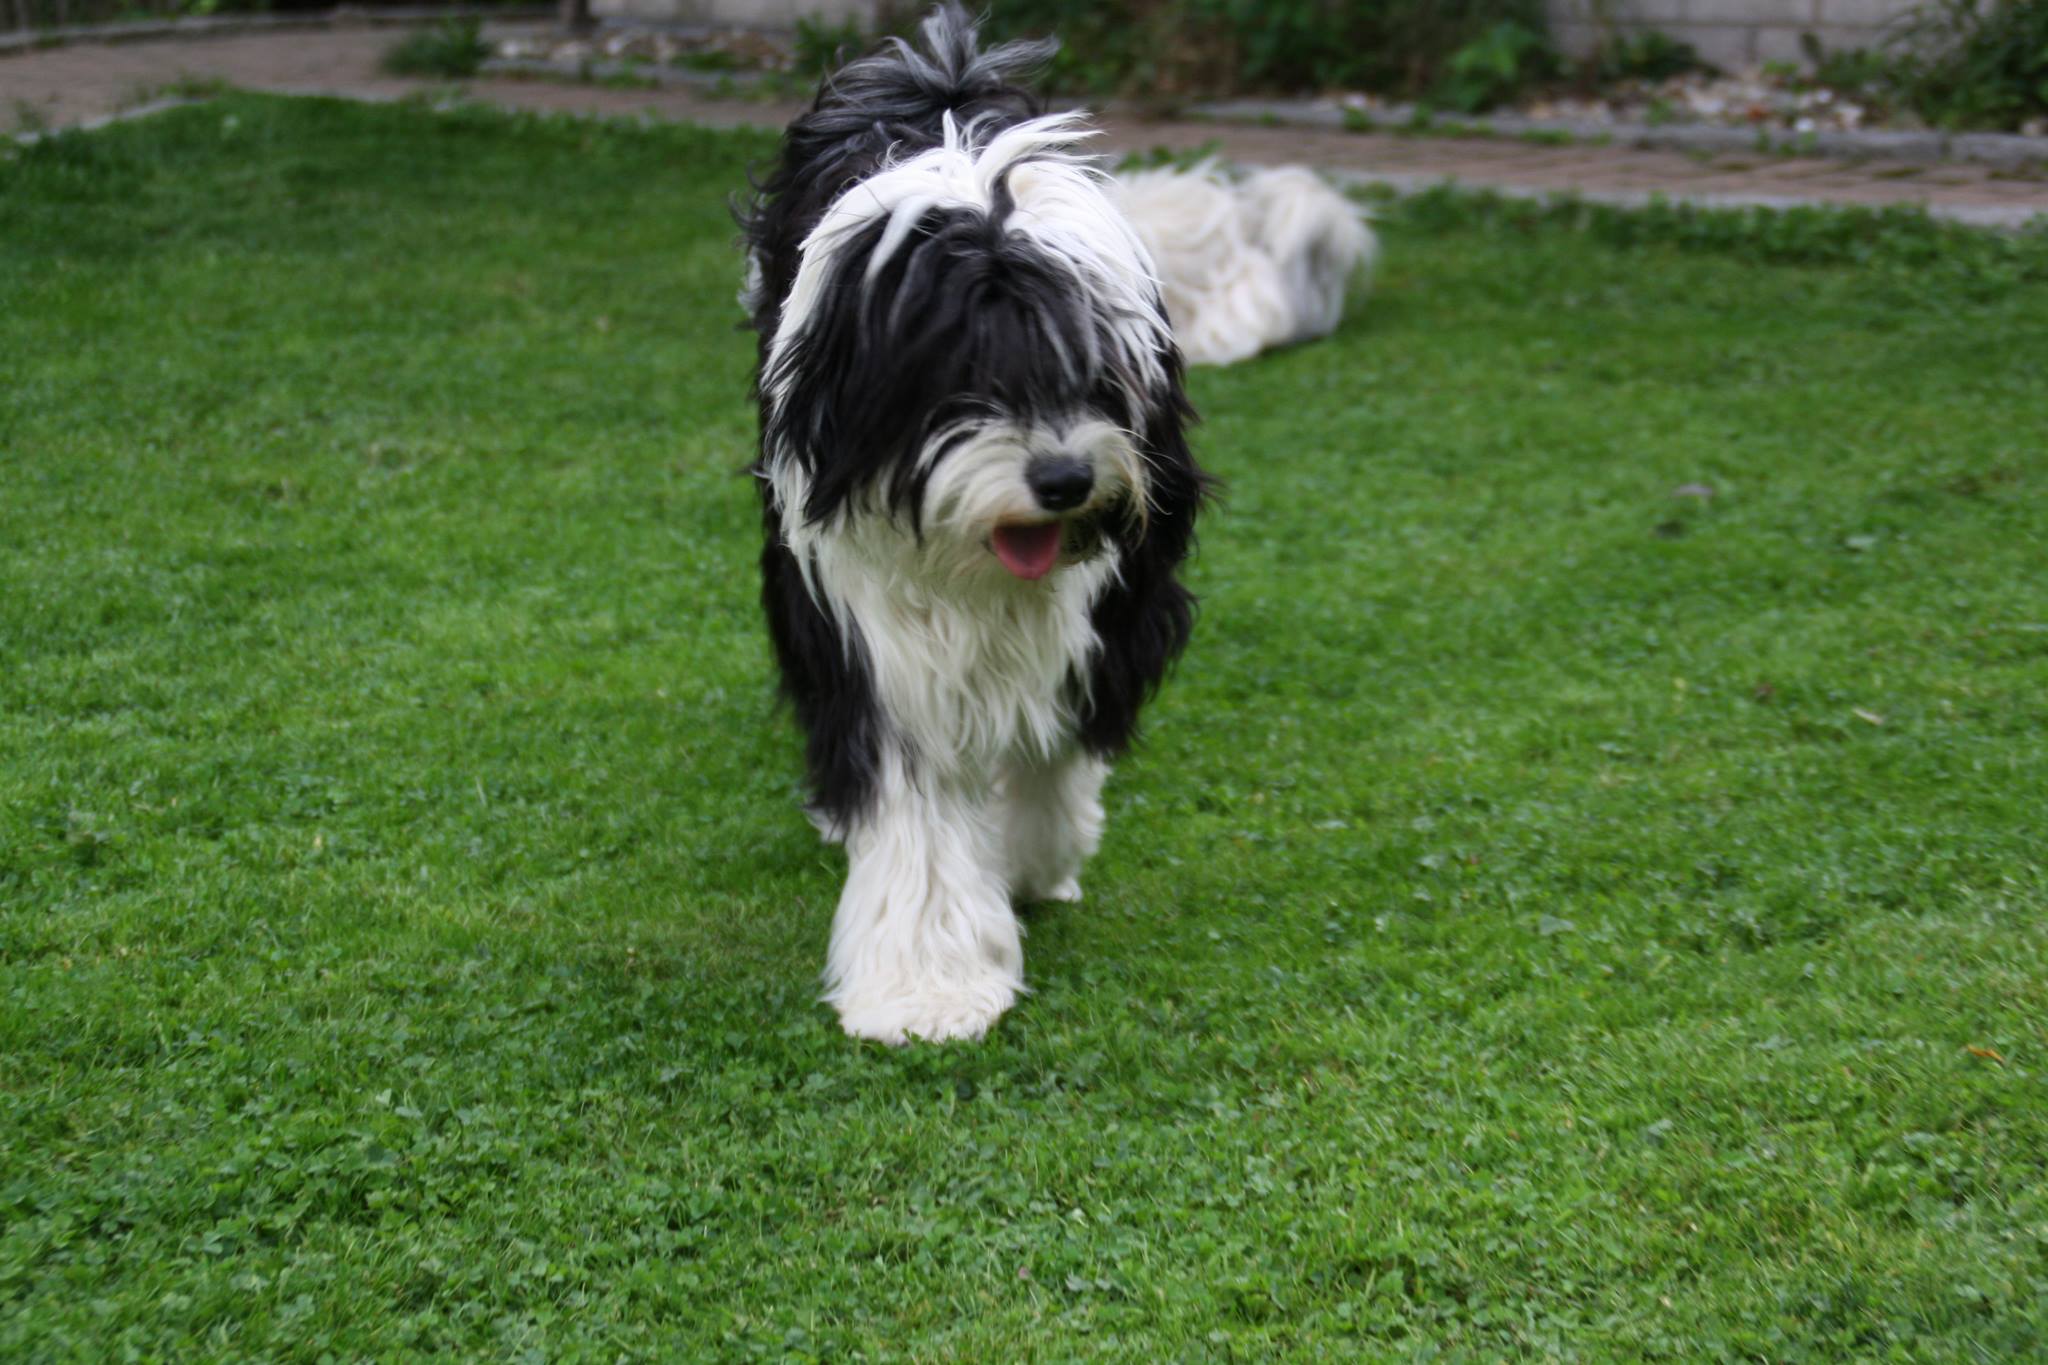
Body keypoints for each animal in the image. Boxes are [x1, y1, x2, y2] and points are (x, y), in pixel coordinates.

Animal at [739, 4, 1208, 1044]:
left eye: (1099, 375)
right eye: (965, 379)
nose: (1065, 478)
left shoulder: (1117, 605)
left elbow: (1055, 741)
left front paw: (1033, 860)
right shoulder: (860, 608)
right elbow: (910, 796)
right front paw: (927, 988)